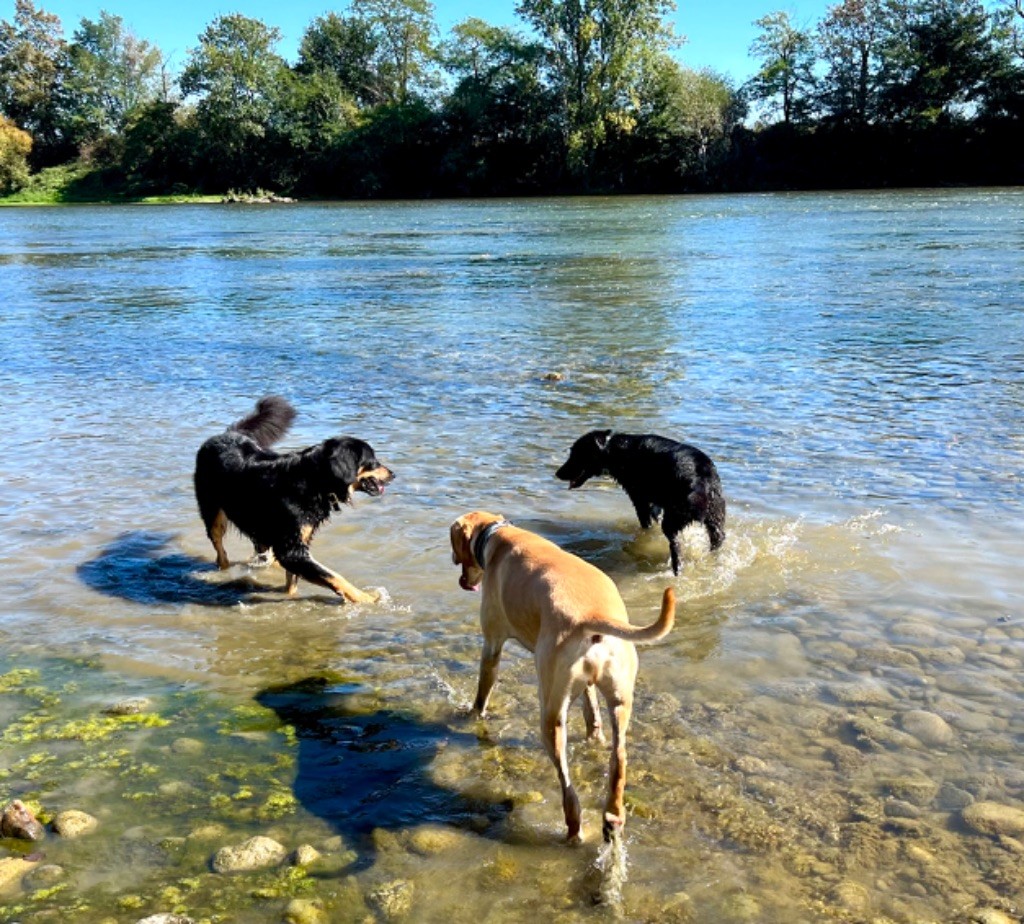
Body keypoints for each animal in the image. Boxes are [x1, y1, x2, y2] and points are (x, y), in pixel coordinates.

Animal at [193, 396, 394, 603]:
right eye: (373, 461)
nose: (392, 474)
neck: (314, 480)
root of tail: (227, 434)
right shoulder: (292, 548)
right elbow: (333, 575)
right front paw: (365, 598)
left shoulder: (295, 542)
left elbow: (294, 580)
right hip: (214, 513)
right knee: (220, 550)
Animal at [450, 510, 675, 844]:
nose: (463, 580)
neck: (497, 536)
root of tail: (593, 616)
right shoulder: (587, 686)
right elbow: (591, 710)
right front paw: (594, 733)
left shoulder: (492, 645)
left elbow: (482, 693)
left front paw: (472, 714)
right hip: (620, 701)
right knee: (619, 757)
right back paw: (613, 815)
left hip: (551, 713)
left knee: (568, 786)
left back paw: (574, 828)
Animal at [556, 430, 725, 575]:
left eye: (576, 454)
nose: (557, 474)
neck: (612, 449)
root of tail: (701, 477)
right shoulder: (655, 503)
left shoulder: (640, 500)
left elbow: (646, 523)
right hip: (715, 520)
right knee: (717, 540)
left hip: (673, 521)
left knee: (676, 547)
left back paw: (676, 571)